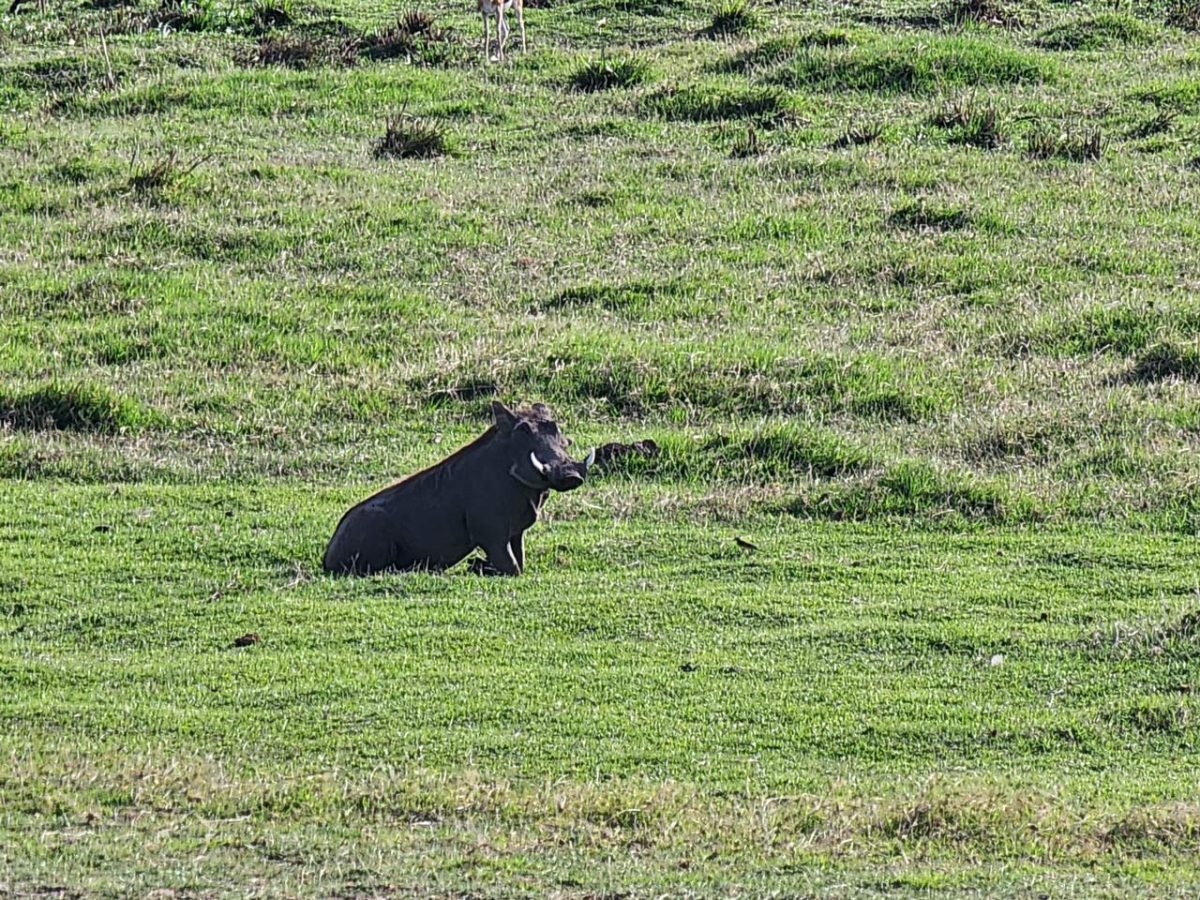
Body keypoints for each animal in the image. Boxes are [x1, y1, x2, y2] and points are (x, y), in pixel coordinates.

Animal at [322, 401, 593, 576]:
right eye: (523, 430)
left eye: (554, 426)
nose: (570, 475)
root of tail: (328, 555)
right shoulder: (491, 534)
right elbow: (513, 568)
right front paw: (479, 566)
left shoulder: (516, 532)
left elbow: (520, 561)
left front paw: (479, 566)